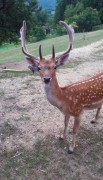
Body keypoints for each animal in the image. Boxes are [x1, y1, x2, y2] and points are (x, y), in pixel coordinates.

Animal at [19, 21, 103, 153]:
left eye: (54, 66)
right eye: (39, 68)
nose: (46, 79)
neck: (65, 100)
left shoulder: (79, 111)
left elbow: (74, 130)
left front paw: (71, 148)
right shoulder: (66, 113)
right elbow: (65, 123)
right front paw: (61, 136)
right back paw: (94, 120)